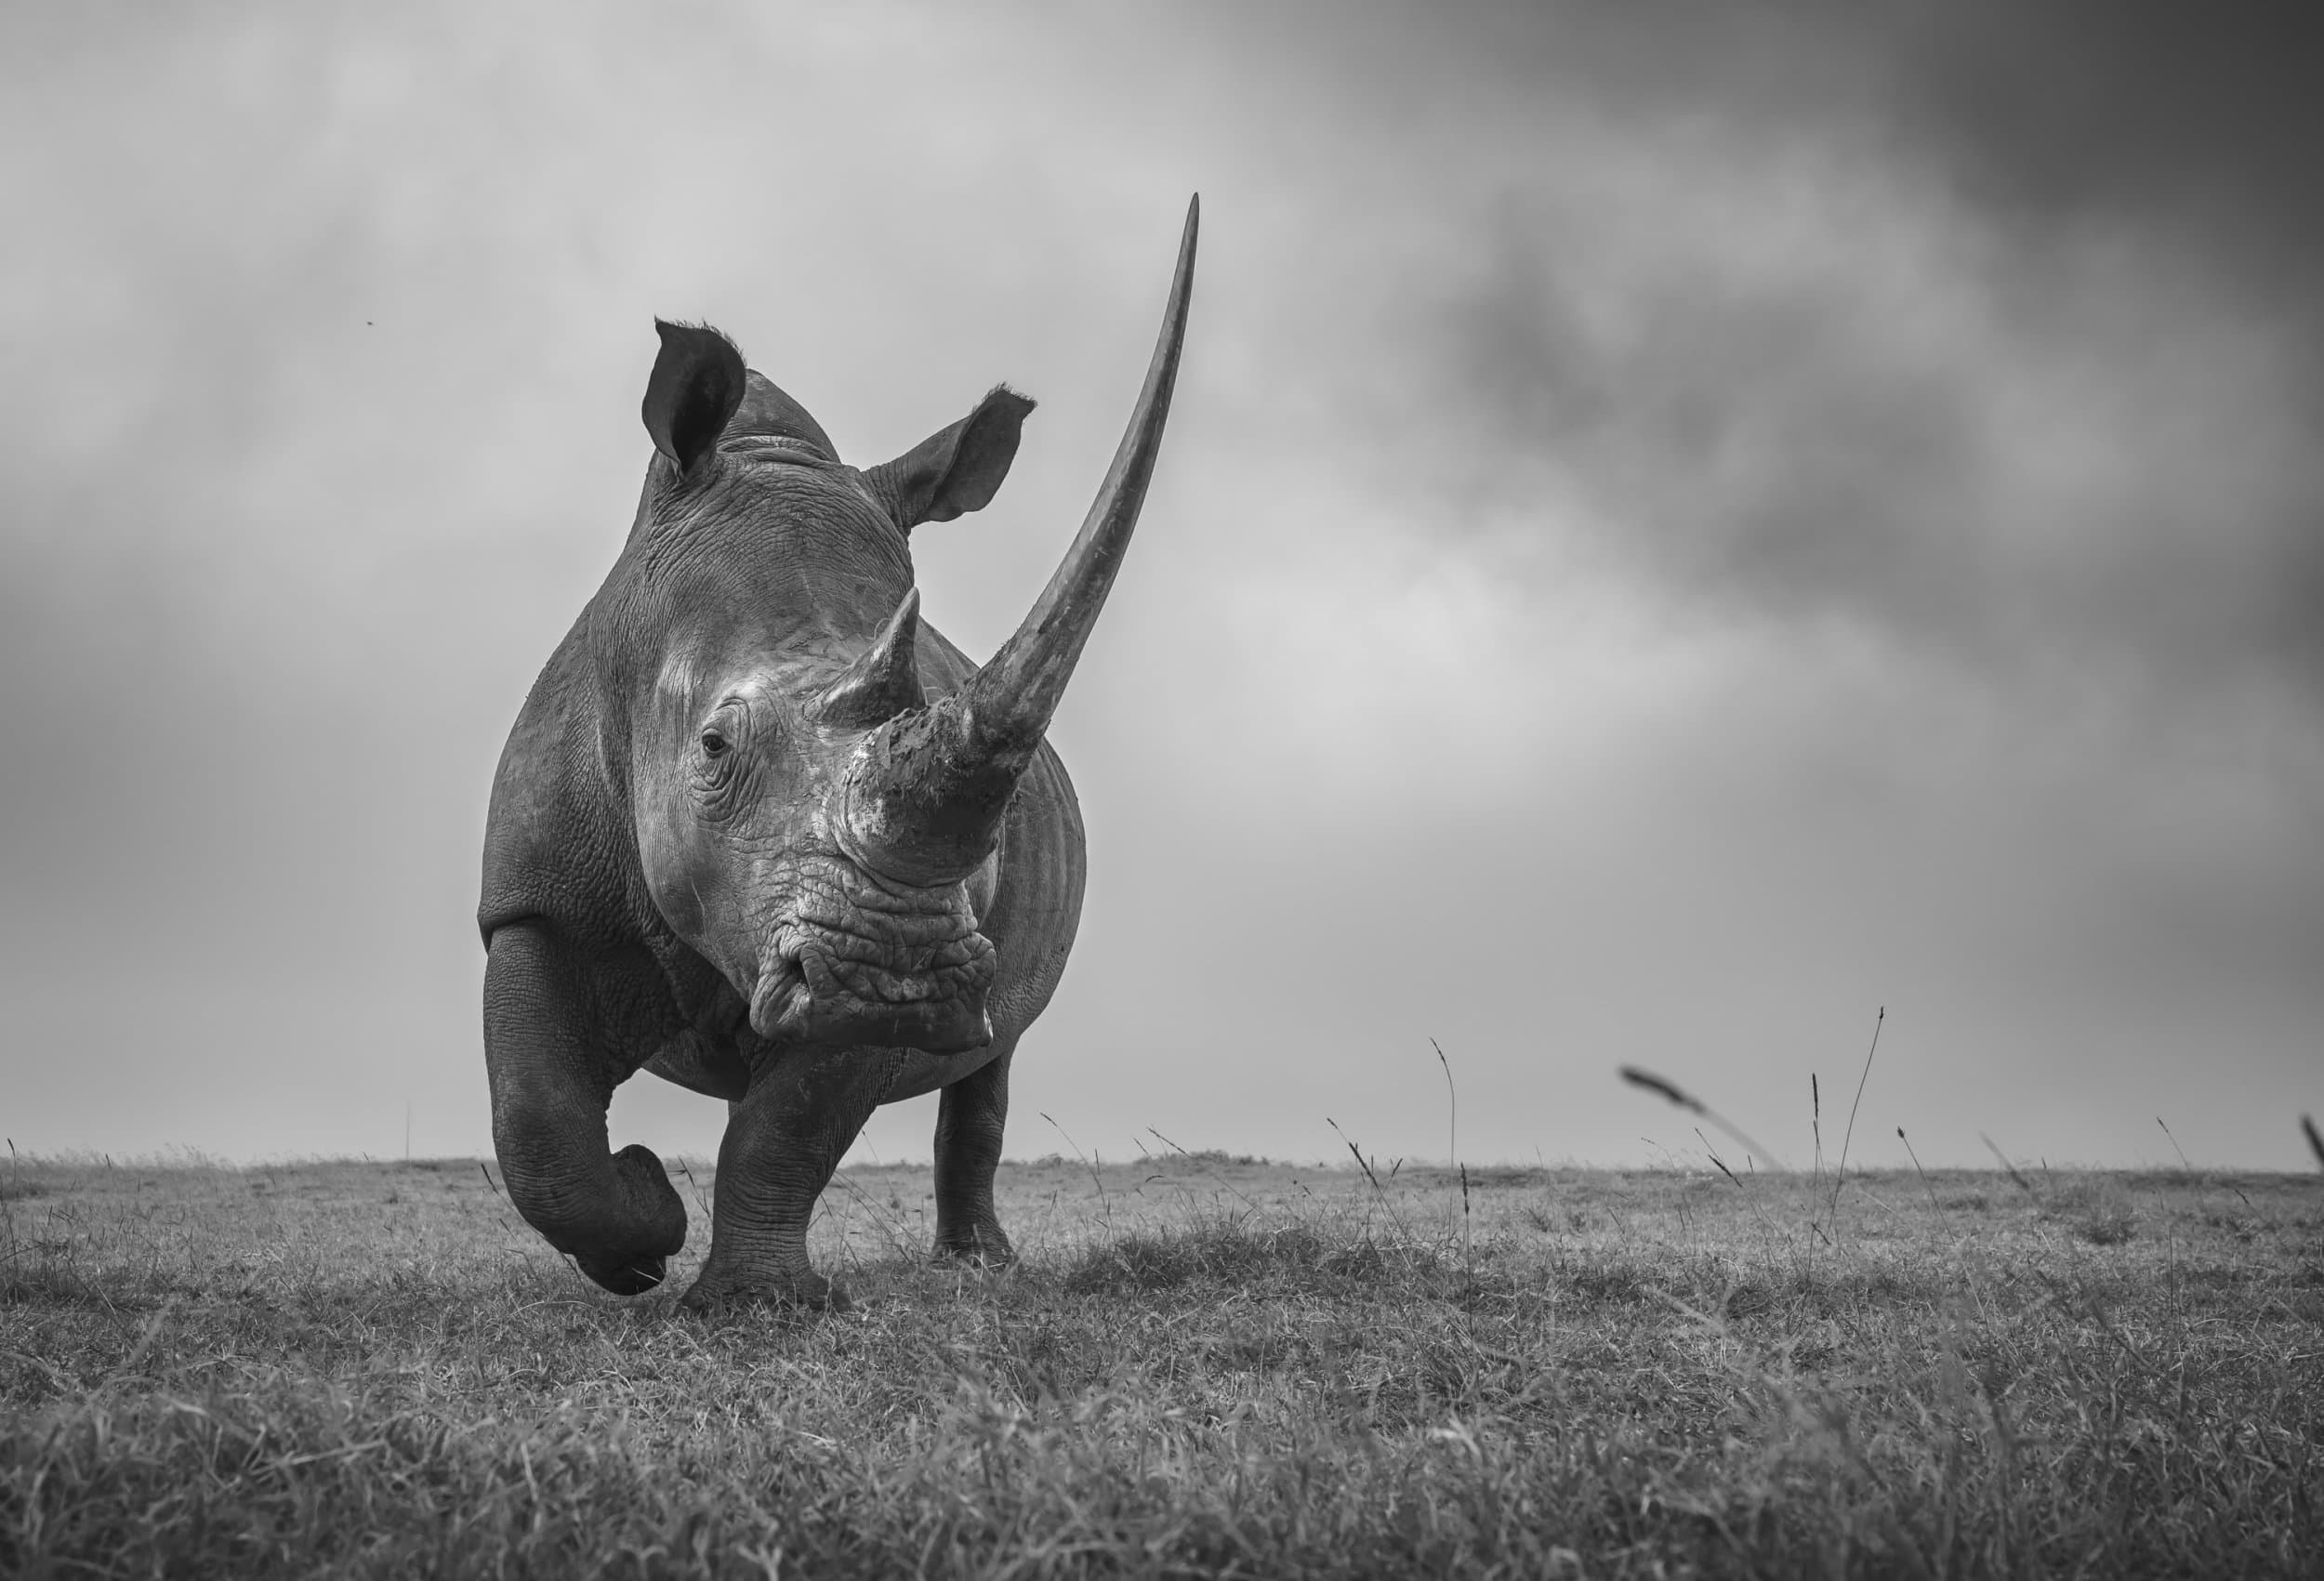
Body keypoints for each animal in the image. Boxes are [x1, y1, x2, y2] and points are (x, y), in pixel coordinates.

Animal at [478, 200, 1196, 1308]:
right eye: (713, 746)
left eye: (998, 821)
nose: (897, 969)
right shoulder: (532, 895)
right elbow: (535, 1120)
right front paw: (646, 1224)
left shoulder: (904, 960)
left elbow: (788, 1128)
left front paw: (754, 1307)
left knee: (991, 1059)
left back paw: (978, 1266)